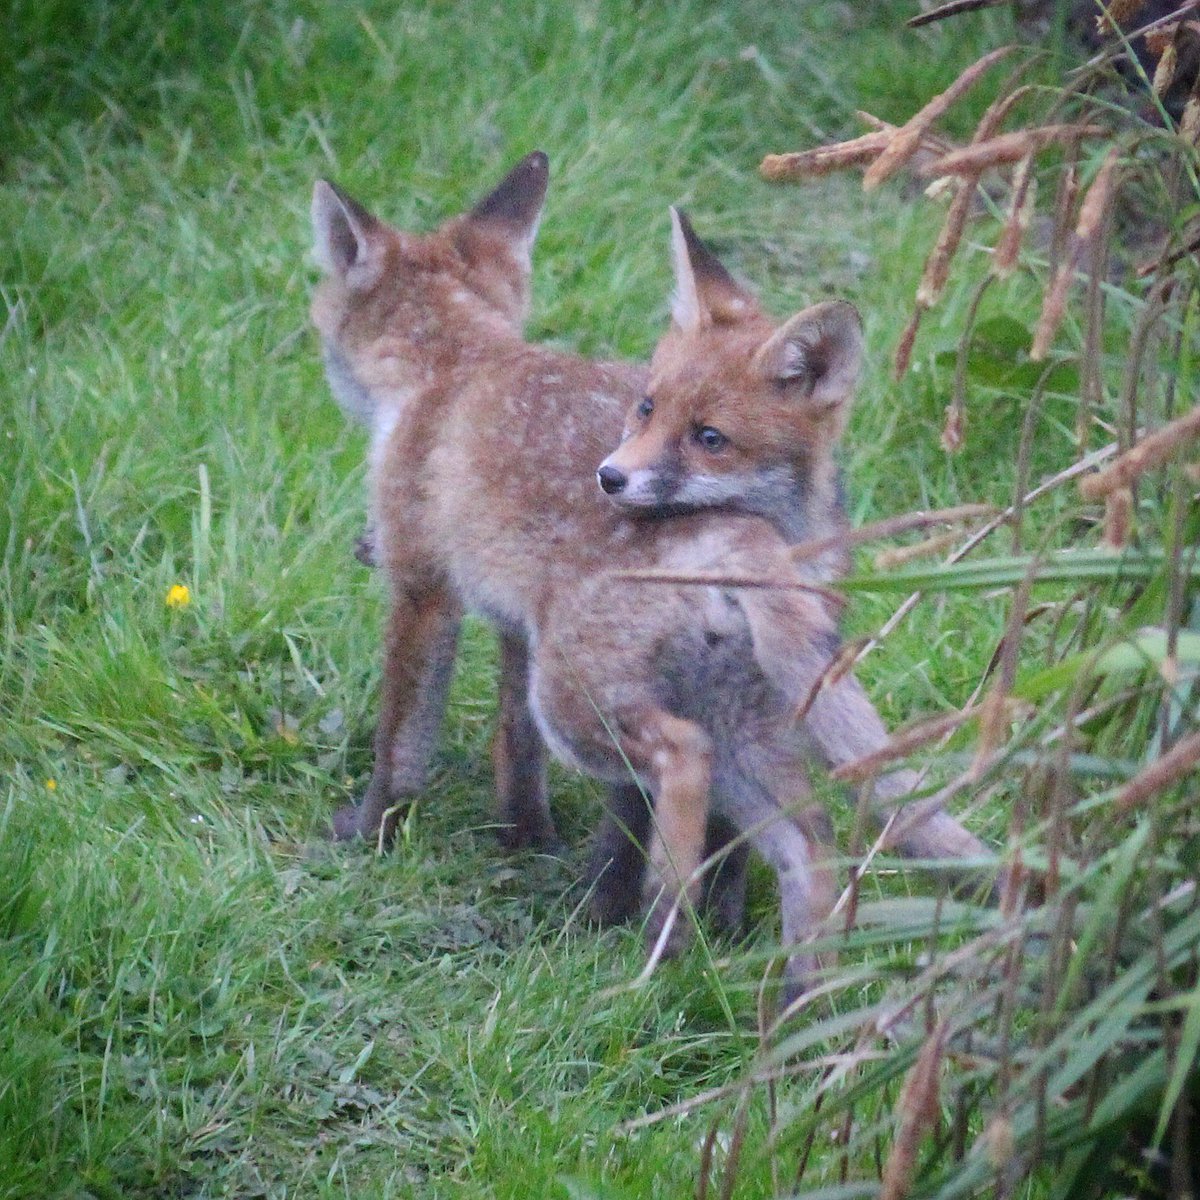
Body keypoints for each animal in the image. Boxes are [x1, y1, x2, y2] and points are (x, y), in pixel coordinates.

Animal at [310, 153, 993, 979]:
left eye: (709, 437)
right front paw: (525, 836)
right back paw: (770, 981)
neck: (454, 368)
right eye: (643, 407)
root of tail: (749, 540)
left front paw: (374, 832)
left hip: (584, 700)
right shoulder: (517, 627)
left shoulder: (423, 589)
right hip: (738, 717)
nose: (610, 477)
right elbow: (517, 750)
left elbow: (402, 740)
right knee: (805, 843)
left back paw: (663, 921)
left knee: (680, 761)